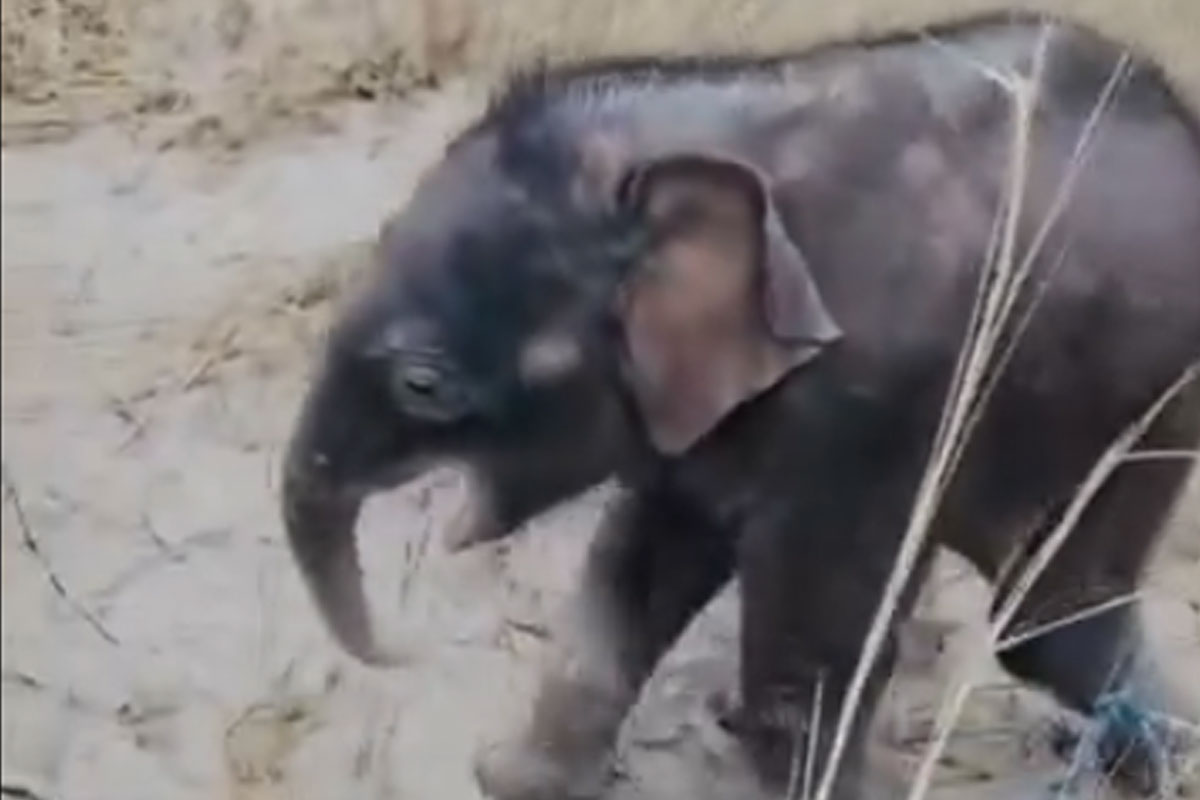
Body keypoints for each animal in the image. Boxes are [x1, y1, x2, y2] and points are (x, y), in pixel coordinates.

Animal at [280, 12, 1200, 799]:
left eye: (423, 384)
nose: (402, 652)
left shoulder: (871, 404)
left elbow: (798, 658)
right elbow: (640, 560)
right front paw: (515, 780)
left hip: (1137, 397)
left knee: (1051, 617)